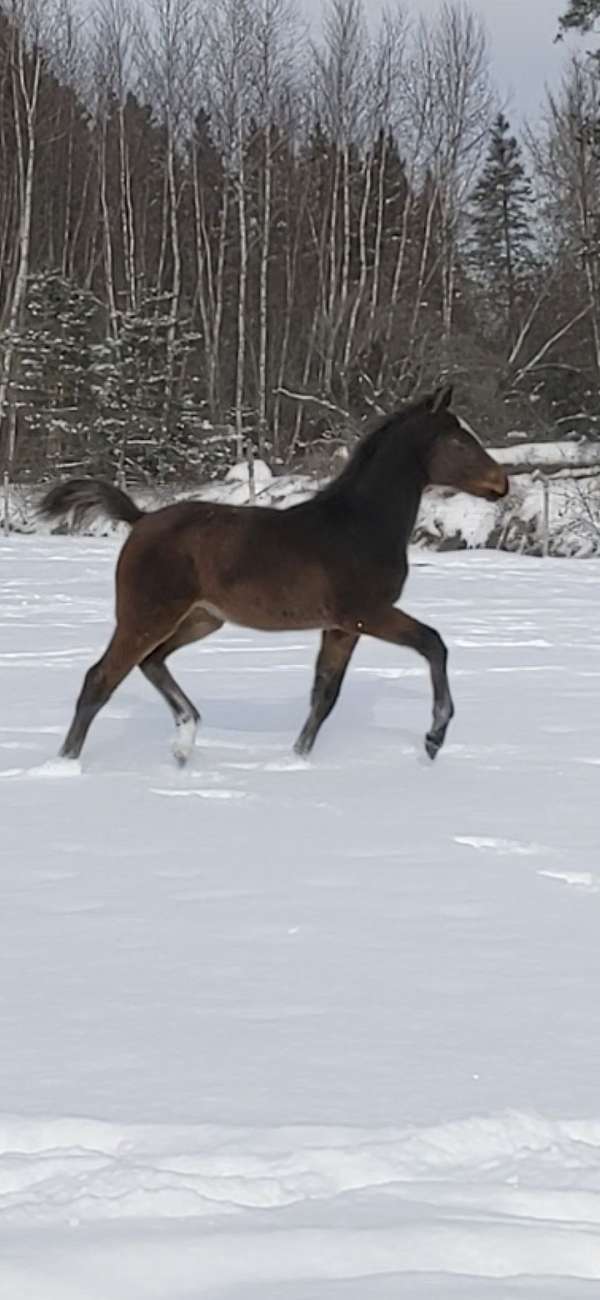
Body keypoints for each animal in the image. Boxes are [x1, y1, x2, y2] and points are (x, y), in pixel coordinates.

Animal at [38, 387, 506, 769]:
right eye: (459, 441)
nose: (502, 483)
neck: (359, 526)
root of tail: (141, 519)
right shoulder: (366, 613)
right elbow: (434, 644)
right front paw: (434, 737)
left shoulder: (341, 627)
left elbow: (324, 696)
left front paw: (295, 760)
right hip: (147, 615)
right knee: (101, 678)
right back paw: (65, 765)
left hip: (202, 618)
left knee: (151, 662)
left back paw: (185, 742)